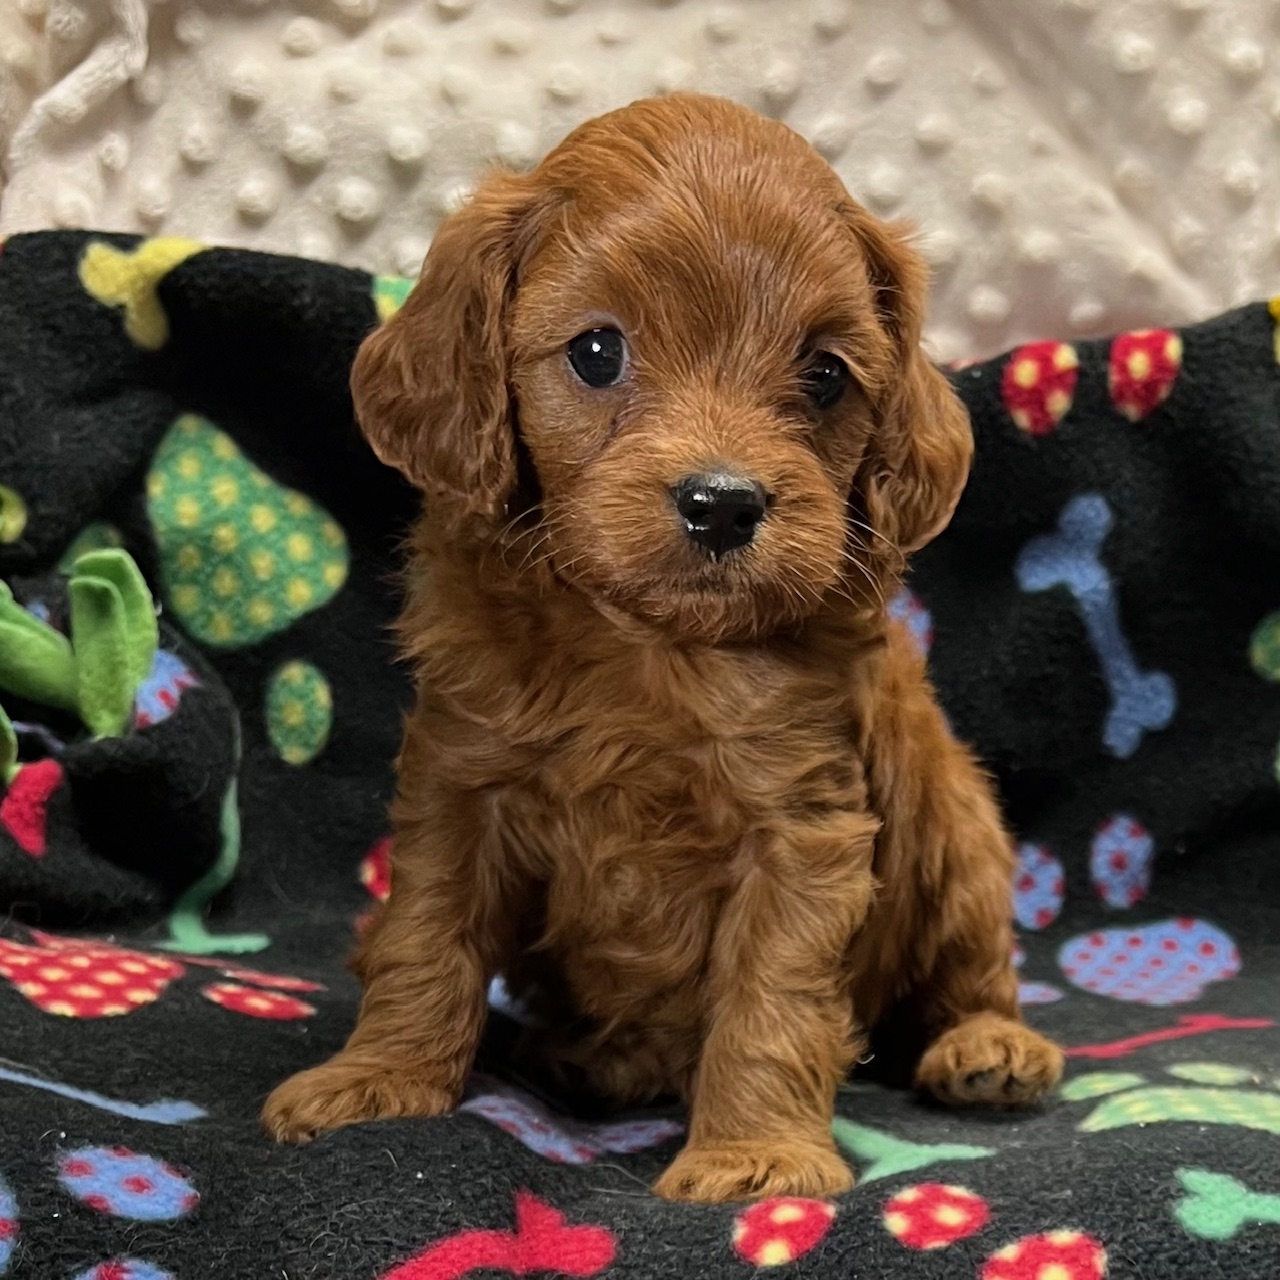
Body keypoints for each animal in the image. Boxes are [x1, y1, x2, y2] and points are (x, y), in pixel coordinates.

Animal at [264, 94, 1064, 1203]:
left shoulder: (801, 830)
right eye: (597, 352)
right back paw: (590, 1053)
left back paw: (988, 1047)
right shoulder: (459, 785)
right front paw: (378, 1078)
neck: (646, 645)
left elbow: (772, 996)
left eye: (825, 373)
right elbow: (426, 935)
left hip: (956, 825)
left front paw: (754, 1156)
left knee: (970, 963)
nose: (723, 503)